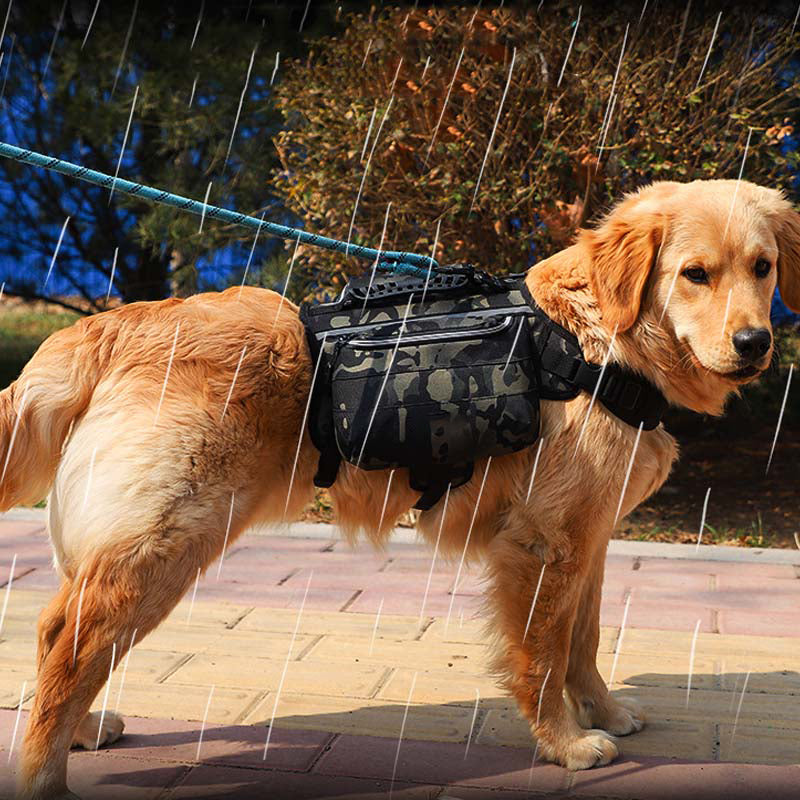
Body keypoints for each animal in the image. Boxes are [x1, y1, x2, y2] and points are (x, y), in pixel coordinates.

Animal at [0, 178, 796, 796]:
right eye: (695, 274)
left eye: (763, 267)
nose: (756, 344)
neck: (602, 343)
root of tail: (111, 325)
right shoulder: (543, 543)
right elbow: (542, 654)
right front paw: (565, 744)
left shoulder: (590, 537)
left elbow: (584, 639)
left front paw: (601, 711)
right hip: (167, 542)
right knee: (68, 642)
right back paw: (47, 775)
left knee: (54, 632)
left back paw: (82, 730)